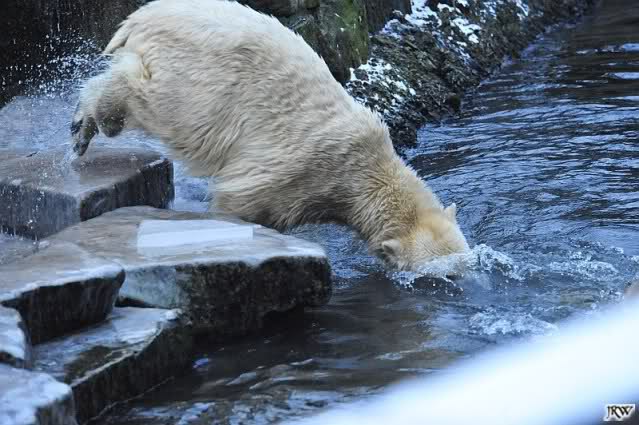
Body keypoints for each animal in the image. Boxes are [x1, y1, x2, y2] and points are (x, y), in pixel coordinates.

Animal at [71, 0, 471, 271]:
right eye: (440, 277)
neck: (363, 174)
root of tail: (142, 15)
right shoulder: (292, 172)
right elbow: (240, 202)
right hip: (199, 79)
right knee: (152, 101)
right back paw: (85, 125)